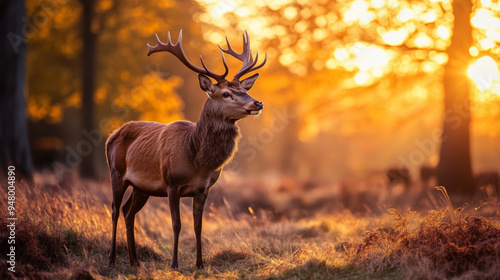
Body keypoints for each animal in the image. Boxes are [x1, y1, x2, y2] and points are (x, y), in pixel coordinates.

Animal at [106, 30, 266, 270]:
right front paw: (174, 263)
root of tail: (112, 136)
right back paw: (112, 258)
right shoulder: (172, 184)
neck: (196, 160)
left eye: (244, 90)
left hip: (141, 187)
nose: (258, 103)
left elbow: (198, 226)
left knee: (128, 212)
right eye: (226, 93)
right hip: (116, 173)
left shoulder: (203, 189)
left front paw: (200, 264)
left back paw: (134, 261)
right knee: (115, 210)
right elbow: (176, 224)